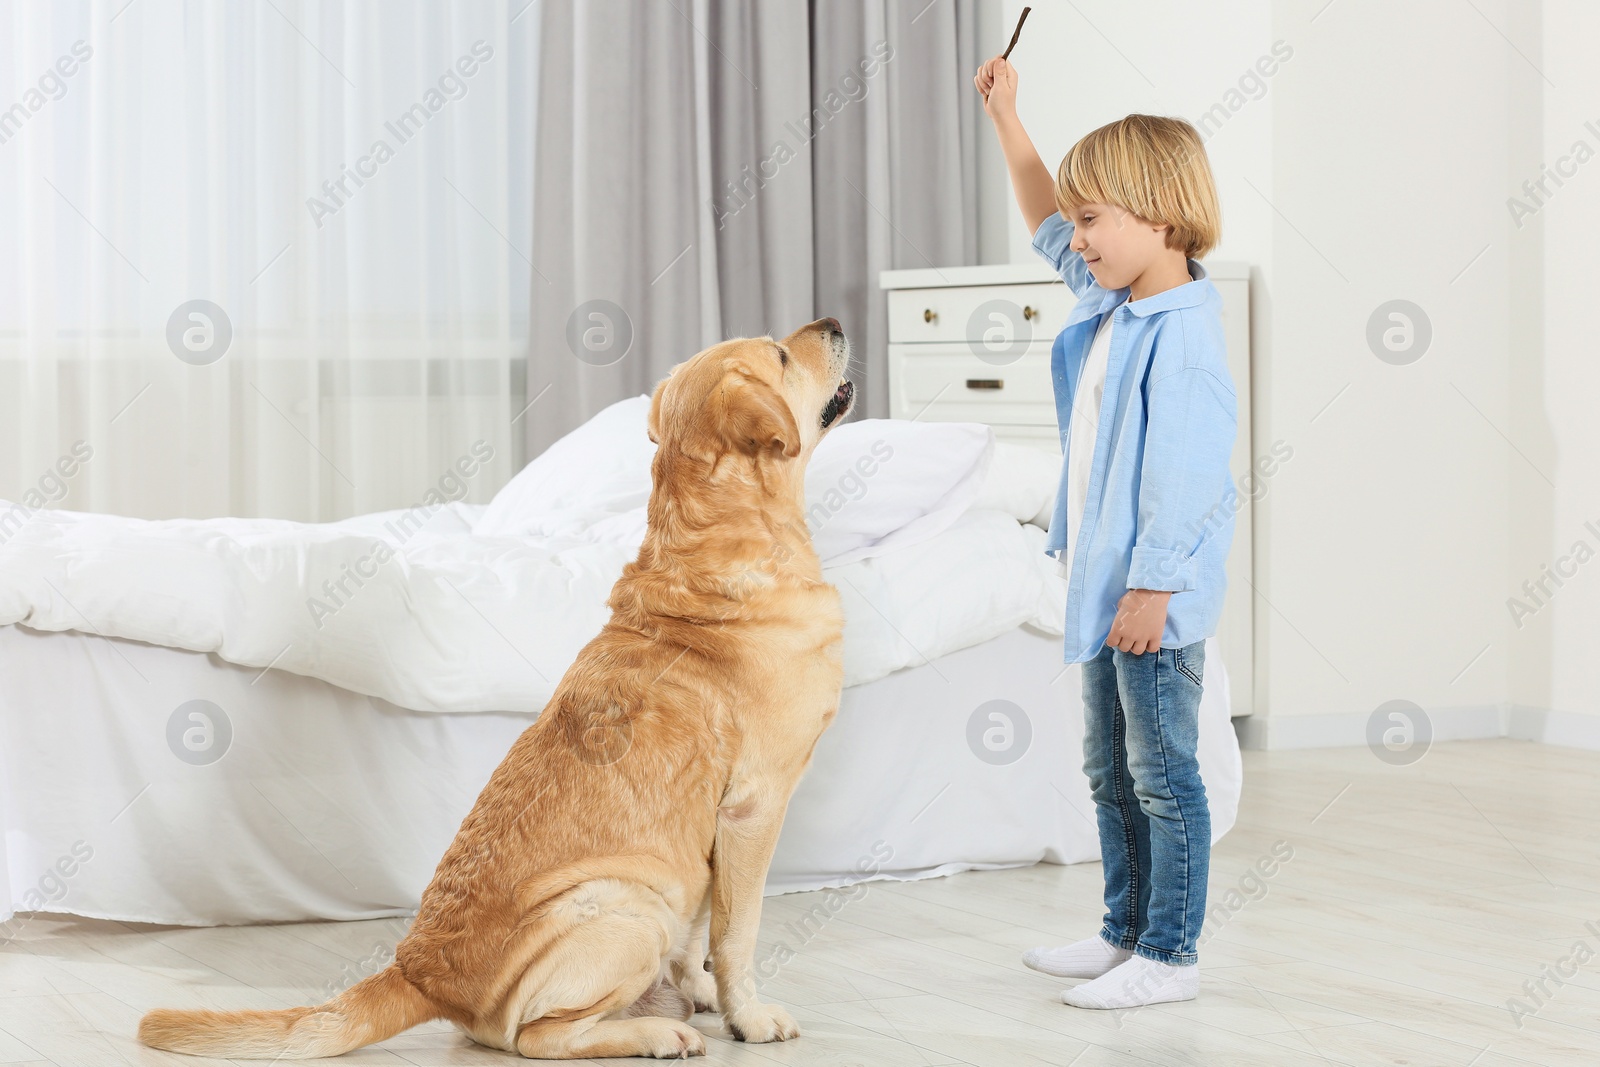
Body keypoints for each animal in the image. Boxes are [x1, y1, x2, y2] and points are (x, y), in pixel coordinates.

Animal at [137, 316, 857, 1062]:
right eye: (780, 354)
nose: (833, 322)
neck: (718, 544)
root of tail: (419, 973)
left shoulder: (707, 847)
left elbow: (700, 943)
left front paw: (709, 993)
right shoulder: (752, 808)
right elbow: (737, 934)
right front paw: (750, 1016)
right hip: (628, 903)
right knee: (538, 1035)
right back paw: (657, 1029)